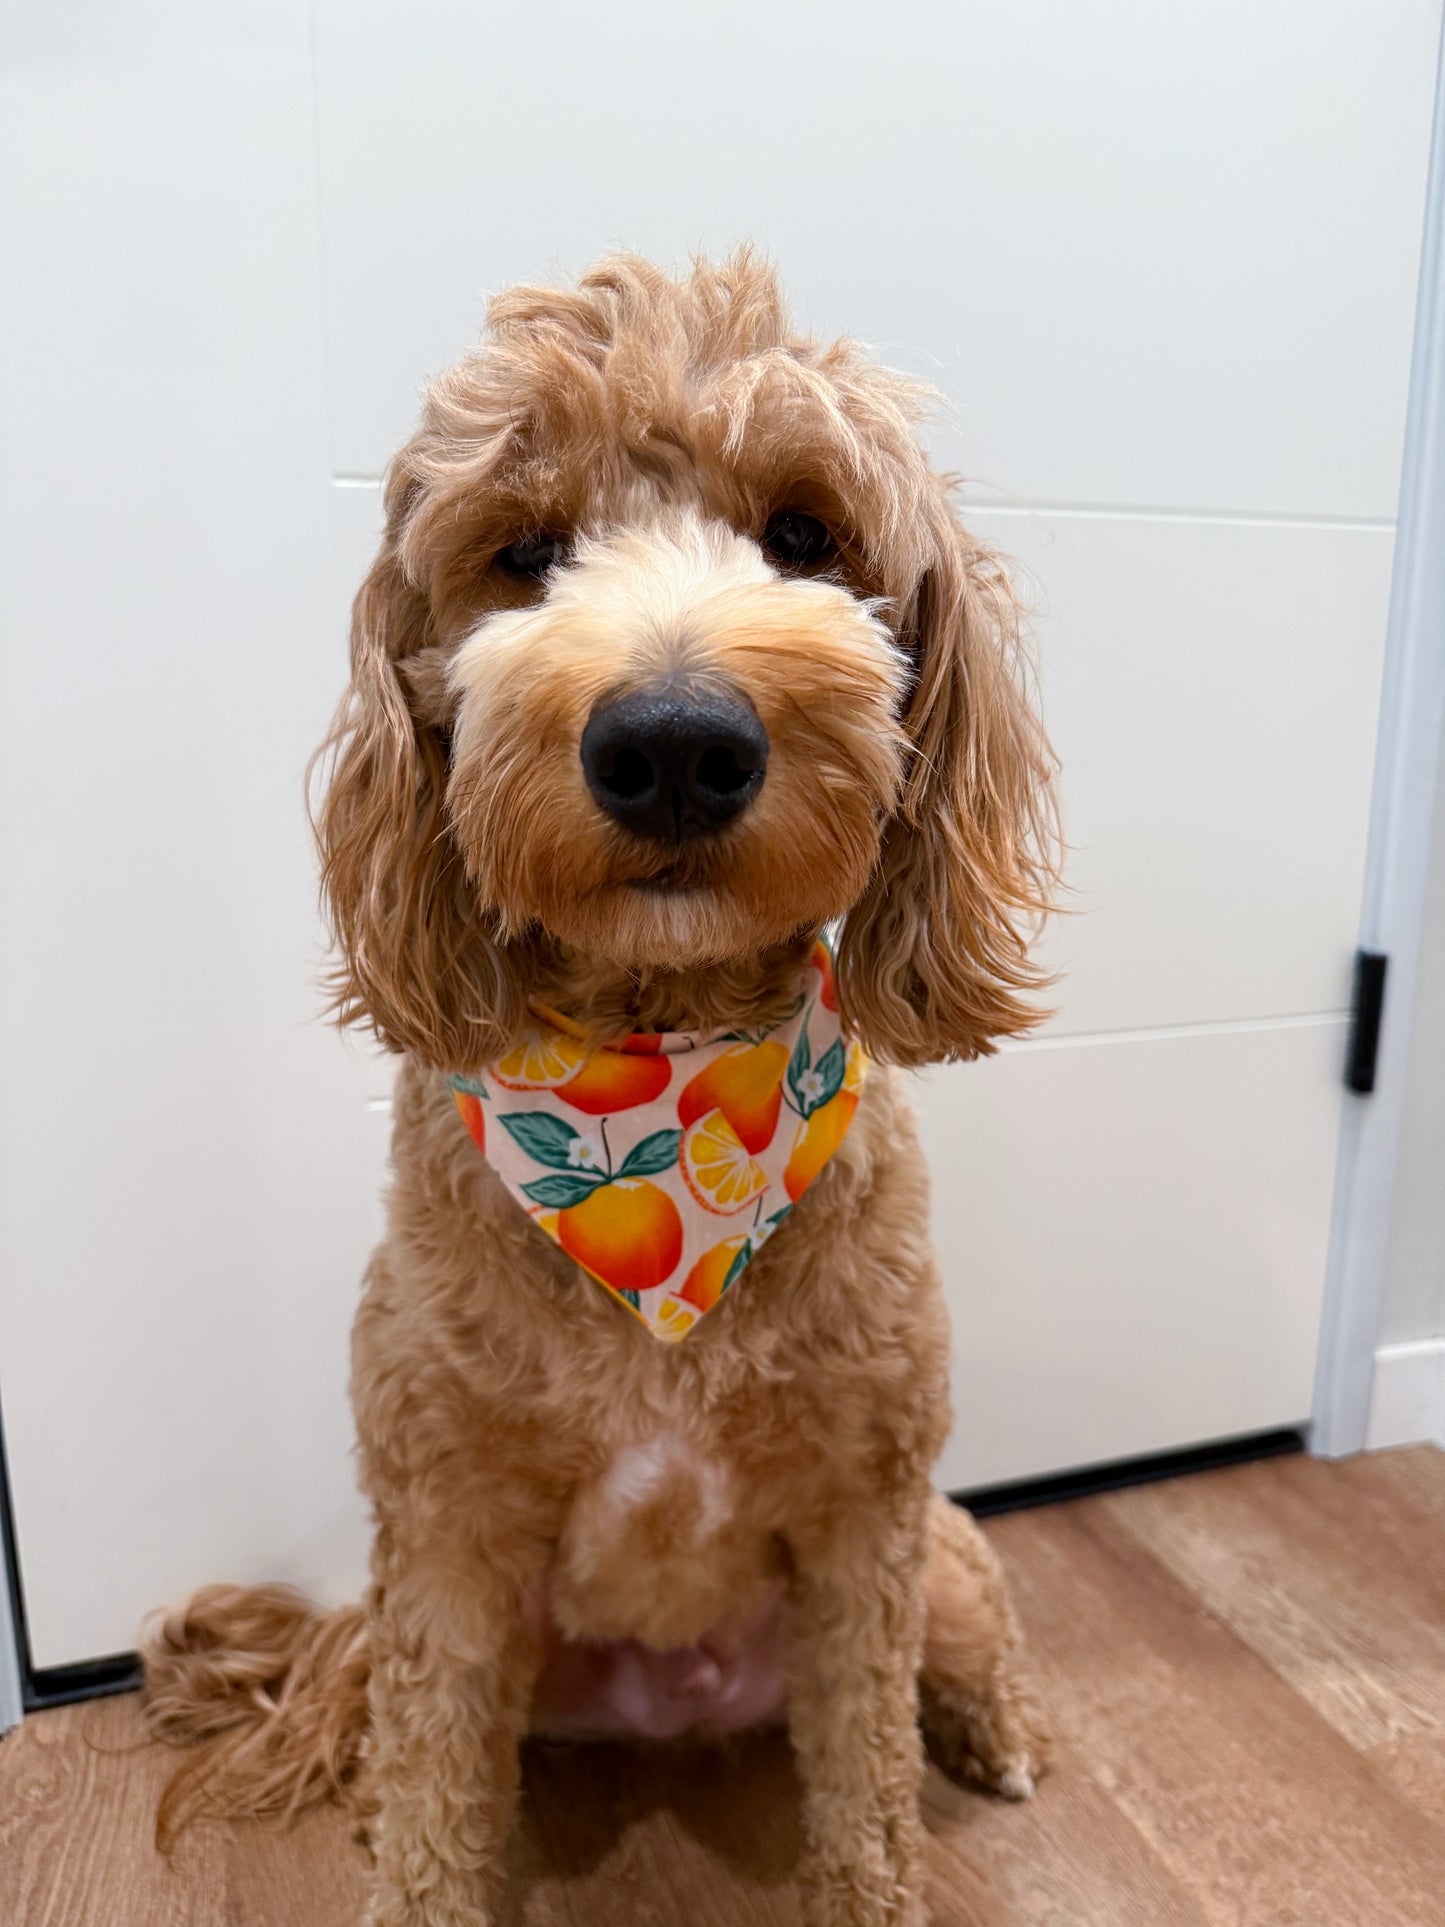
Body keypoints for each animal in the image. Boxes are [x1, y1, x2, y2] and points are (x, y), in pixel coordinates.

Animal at [141, 252, 1055, 1927]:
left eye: (805, 533)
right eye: (522, 552)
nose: (677, 742)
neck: (662, 1098)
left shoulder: (867, 1517)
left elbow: (868, 1784)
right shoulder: (444, 1531)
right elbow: (434, 1794)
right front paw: (408, 1866)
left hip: (942, 1545)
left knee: (969, 1641)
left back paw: (999, 1728)